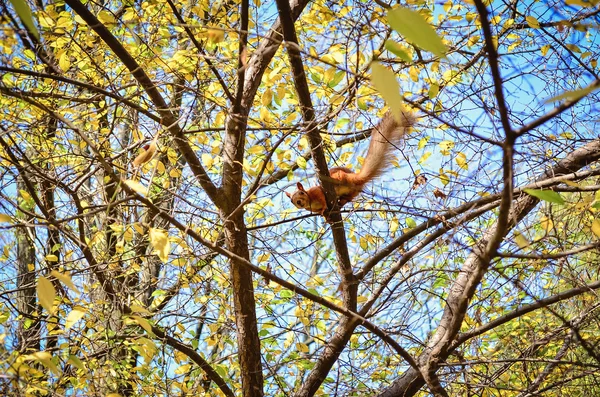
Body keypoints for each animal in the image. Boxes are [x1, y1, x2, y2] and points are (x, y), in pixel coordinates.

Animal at [284, 106, 412, 215]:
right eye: (291, 201)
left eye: (301, 193)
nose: (299, 202)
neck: (310, 201)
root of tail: (353, 178)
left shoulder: (317, 192)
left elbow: (322, 199)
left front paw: (324, 208)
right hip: (353, 192)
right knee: (348, 198)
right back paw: (341, 203)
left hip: (339, 177)